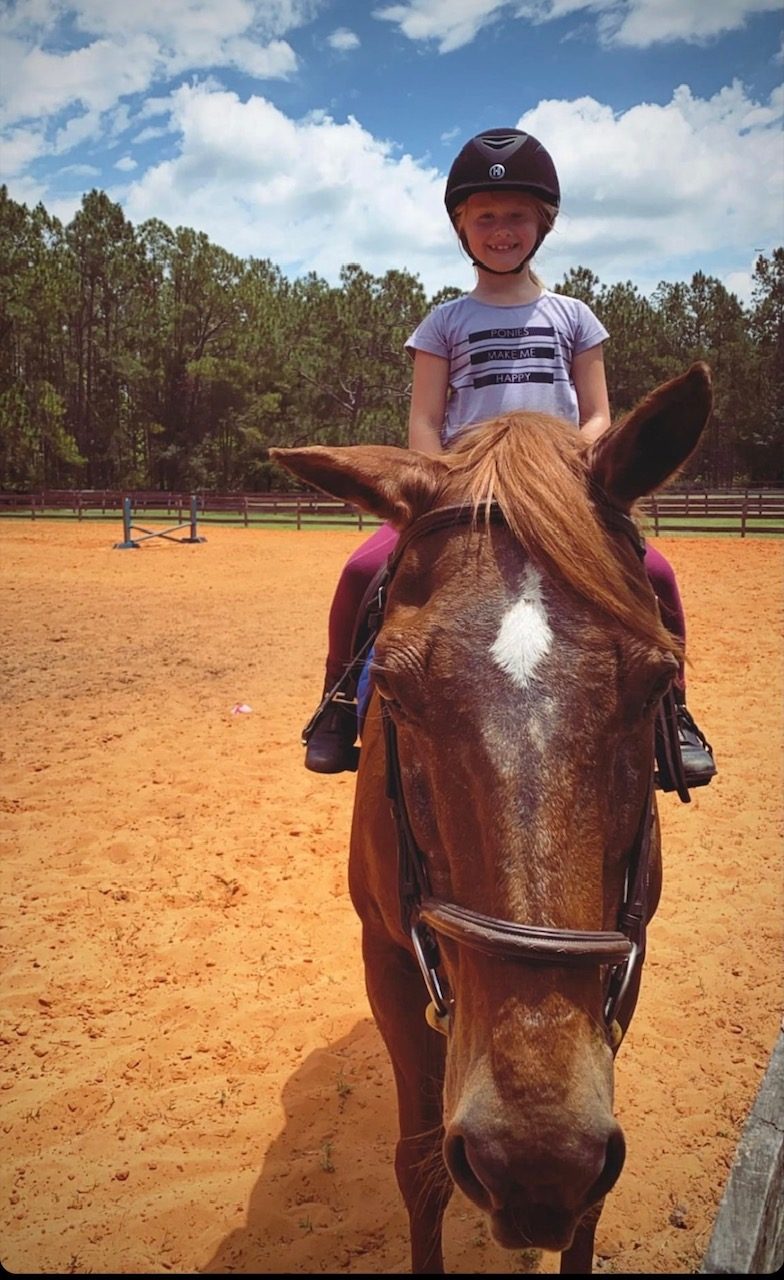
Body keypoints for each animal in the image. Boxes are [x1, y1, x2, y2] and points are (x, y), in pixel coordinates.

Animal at [270, 362, 713, 1274]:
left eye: (659, 680)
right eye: (392, 689)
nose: (536, 1158)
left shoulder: (629, 956)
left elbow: (591, 1203)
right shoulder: (386, 957)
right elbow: (421, 1165)